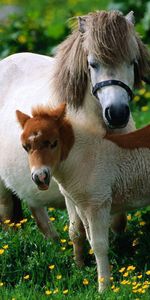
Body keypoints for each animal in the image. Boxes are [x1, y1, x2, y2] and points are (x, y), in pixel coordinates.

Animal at [0, 10, 150, 238]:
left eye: (132, 62)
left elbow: (118, 221)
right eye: (93, 64)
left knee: (36, 207)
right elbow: (77, 229)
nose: (117, 114)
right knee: (8, 215)